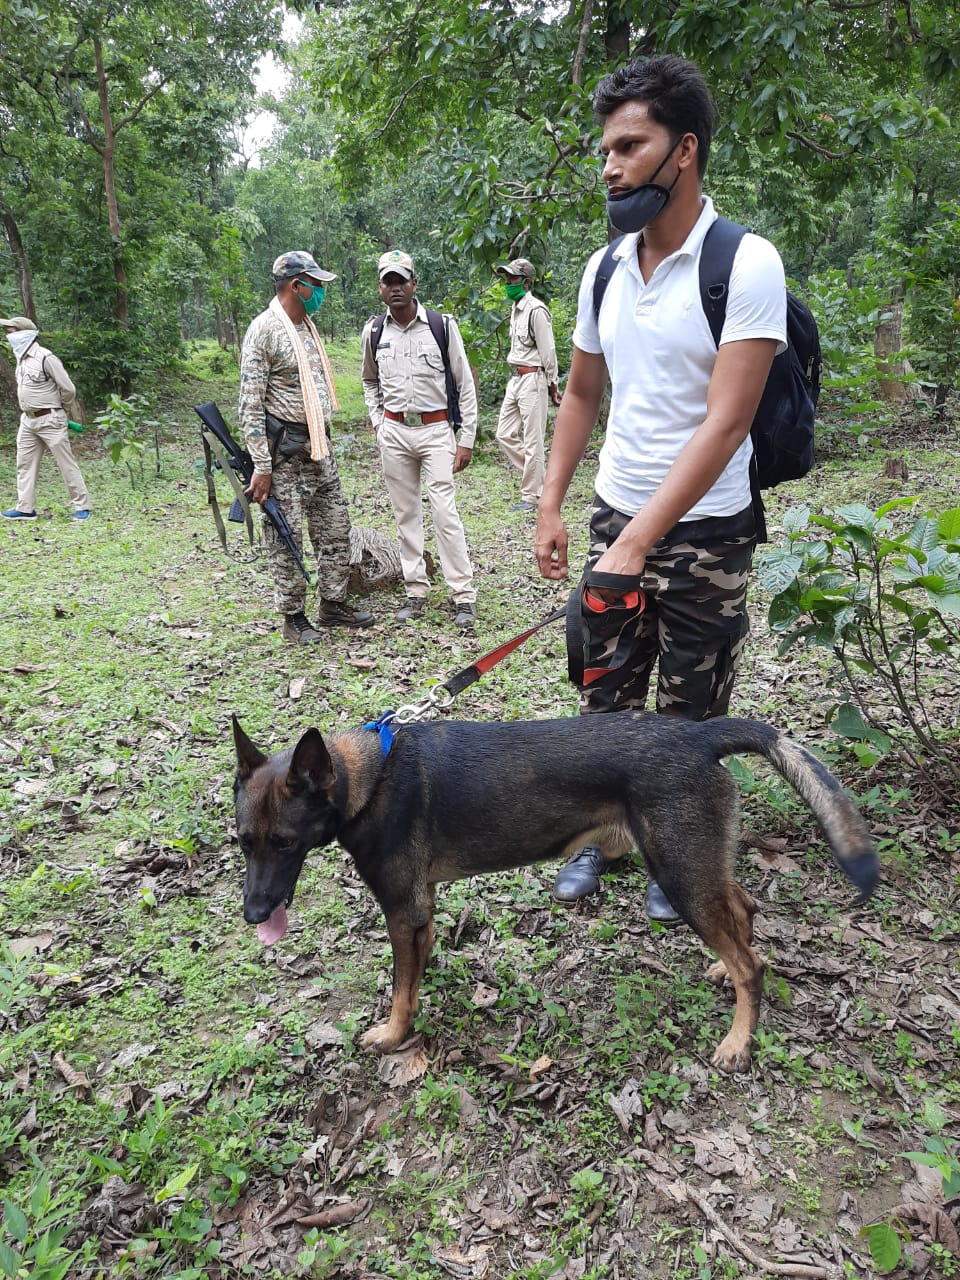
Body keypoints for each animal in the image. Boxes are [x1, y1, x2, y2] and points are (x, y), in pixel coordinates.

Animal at [231, 711, 880, 1070]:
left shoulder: (401, 907)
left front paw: (393, 1034)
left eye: (284, 843)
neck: (365, 777)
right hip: (698, 867)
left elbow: (400, 991)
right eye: (243, 842)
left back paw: (739, 1038)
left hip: (680, 874)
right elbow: (416, 967)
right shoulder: (420, 907)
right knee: (743, 909)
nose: (253, 914)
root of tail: (701, 735)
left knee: (753, 965)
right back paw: (726, 970)